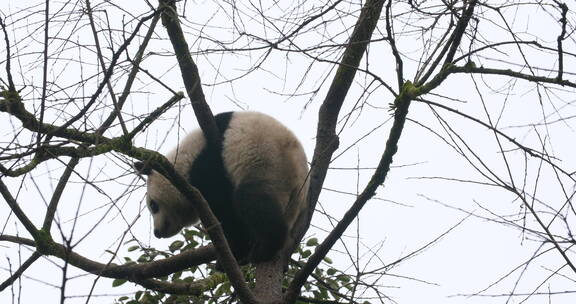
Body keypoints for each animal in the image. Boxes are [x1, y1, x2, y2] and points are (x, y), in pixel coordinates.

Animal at [134, 111, 308, 264]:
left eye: (153, 205)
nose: (157, 233)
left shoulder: (209, 163)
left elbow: (225, 209)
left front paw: (237, 251)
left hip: (269, 167)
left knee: (251, 200)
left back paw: (265, 248)